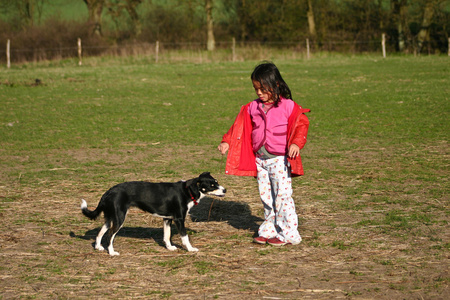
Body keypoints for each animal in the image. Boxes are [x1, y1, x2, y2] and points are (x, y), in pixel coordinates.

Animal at [80, 171, 225, 255]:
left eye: (217, 182)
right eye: (212, 185)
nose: (225, 190)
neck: (187, 191)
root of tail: (109, 191)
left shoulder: (167, 219)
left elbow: (167, 236)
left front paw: (170, 248)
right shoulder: (179, 219)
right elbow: (185, 237)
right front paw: (190, 249)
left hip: (111, 218)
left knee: (100, 232)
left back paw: (98, 247)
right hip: (119, 218)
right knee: (110, 235)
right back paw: (111, 252)